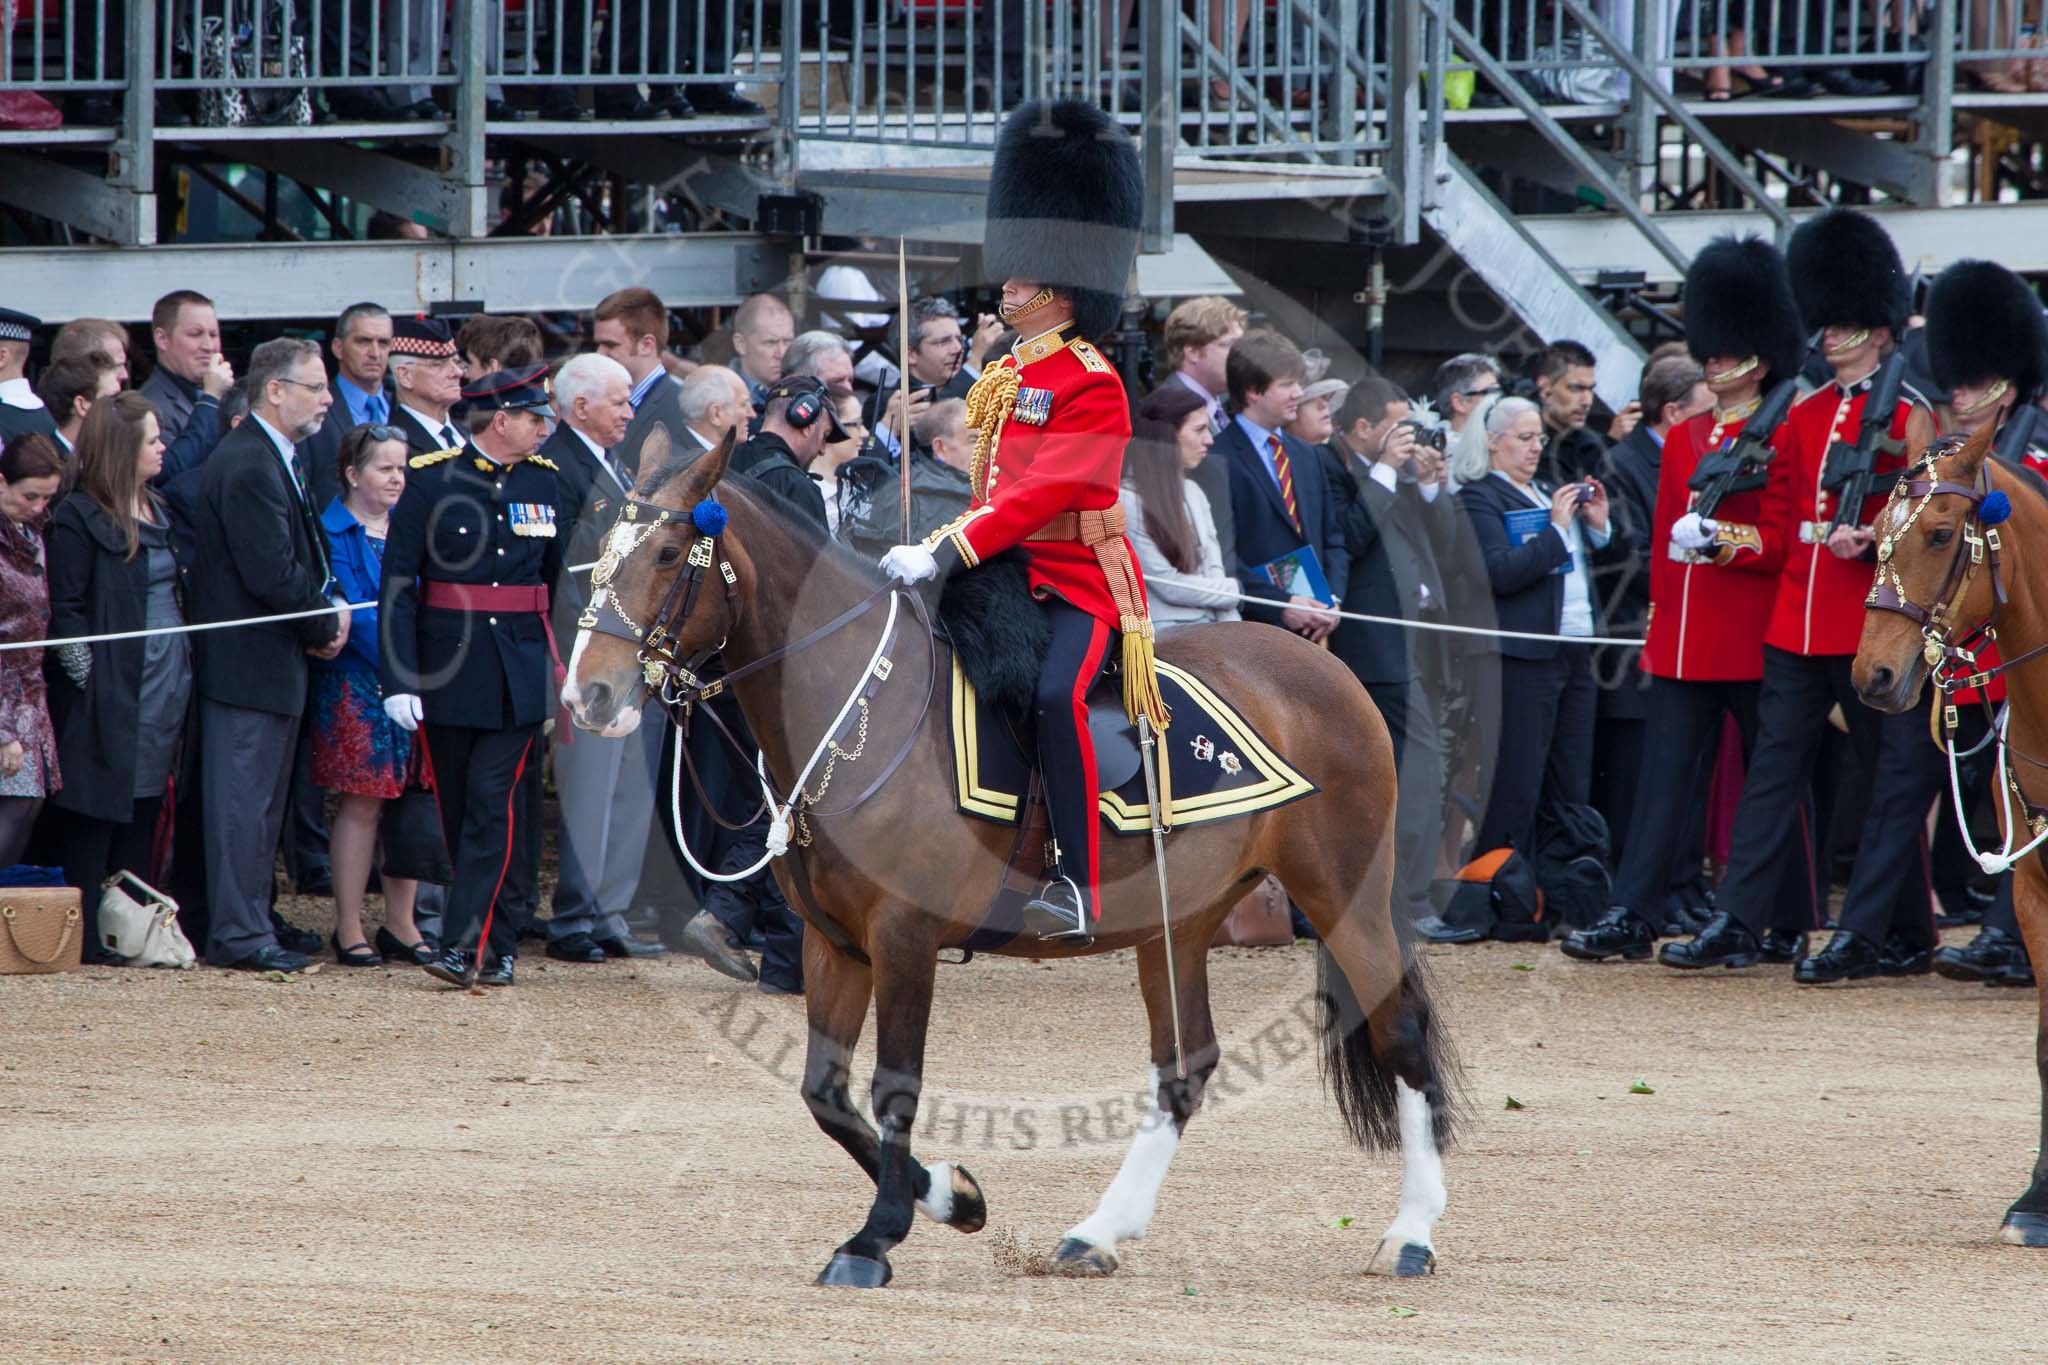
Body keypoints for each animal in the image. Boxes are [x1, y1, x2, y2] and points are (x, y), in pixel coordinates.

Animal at [561, 431, 1458, 1285]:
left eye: (668, 553)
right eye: (604, 549)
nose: (587, 696)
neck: (864, 701)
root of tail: (1327, 669)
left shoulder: (904, 935)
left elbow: (893, 1085)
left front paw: (878, 1237)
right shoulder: (834, 942)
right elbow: (826, 1093)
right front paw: (953, 1197)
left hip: (1343, 895)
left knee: (1400, 1034)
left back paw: (1411, 1233)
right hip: (1179, 922)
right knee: (1184, 1066)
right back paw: (1098, 1232)